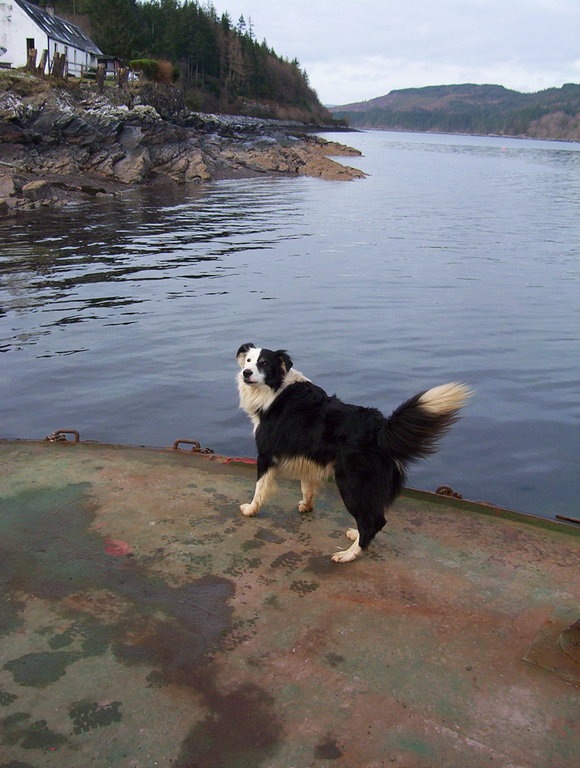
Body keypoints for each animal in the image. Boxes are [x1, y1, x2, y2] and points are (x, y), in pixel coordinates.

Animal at [236, 344, 472, 560]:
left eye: (263, 363)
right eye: (248, 360)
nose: (246, 373)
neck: (275, 389)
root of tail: (381, 428)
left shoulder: (266, 453)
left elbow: (259, 487)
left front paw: (251, 509)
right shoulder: (306, 452)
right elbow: (307, 485)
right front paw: (306, 505)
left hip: (351, 483)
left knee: (373, 521)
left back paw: (349, 554)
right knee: (373, 518)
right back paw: (355, 537)